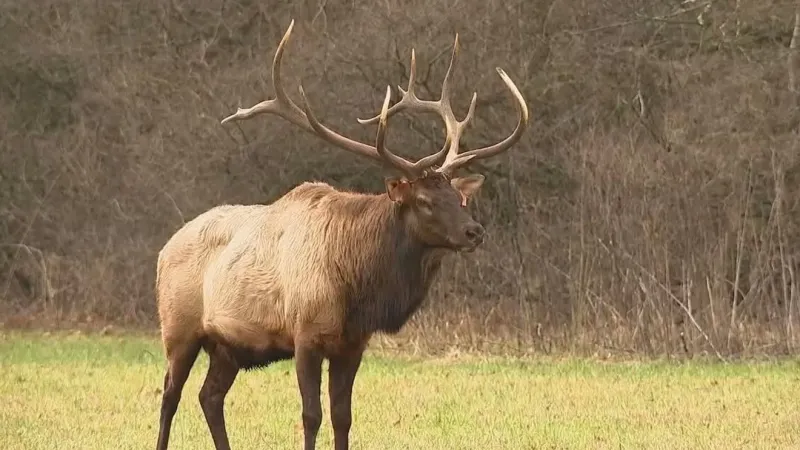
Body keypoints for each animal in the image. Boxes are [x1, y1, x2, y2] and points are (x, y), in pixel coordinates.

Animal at [154, 19, 528, 450]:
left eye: (459, 198)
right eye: (424, 201)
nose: (474, 231)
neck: (356, 289)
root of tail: (164, 250)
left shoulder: (352, 345)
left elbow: (342, 417)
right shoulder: (305, 335)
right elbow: (311, 415)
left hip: (227, 346)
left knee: (210, 396)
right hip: (178, 327)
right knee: (169, 396)